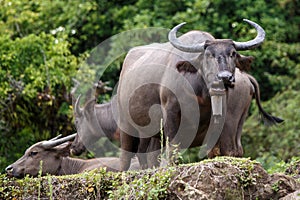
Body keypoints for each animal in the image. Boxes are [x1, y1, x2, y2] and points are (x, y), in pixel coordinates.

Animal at [116, 19, 282, 170]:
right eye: (208, 55)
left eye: (233, 53)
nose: (225, 77)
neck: (200, 95)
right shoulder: (170, 113)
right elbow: (173, 150)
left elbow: (214, 151)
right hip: (126, 124)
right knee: (126, 157)